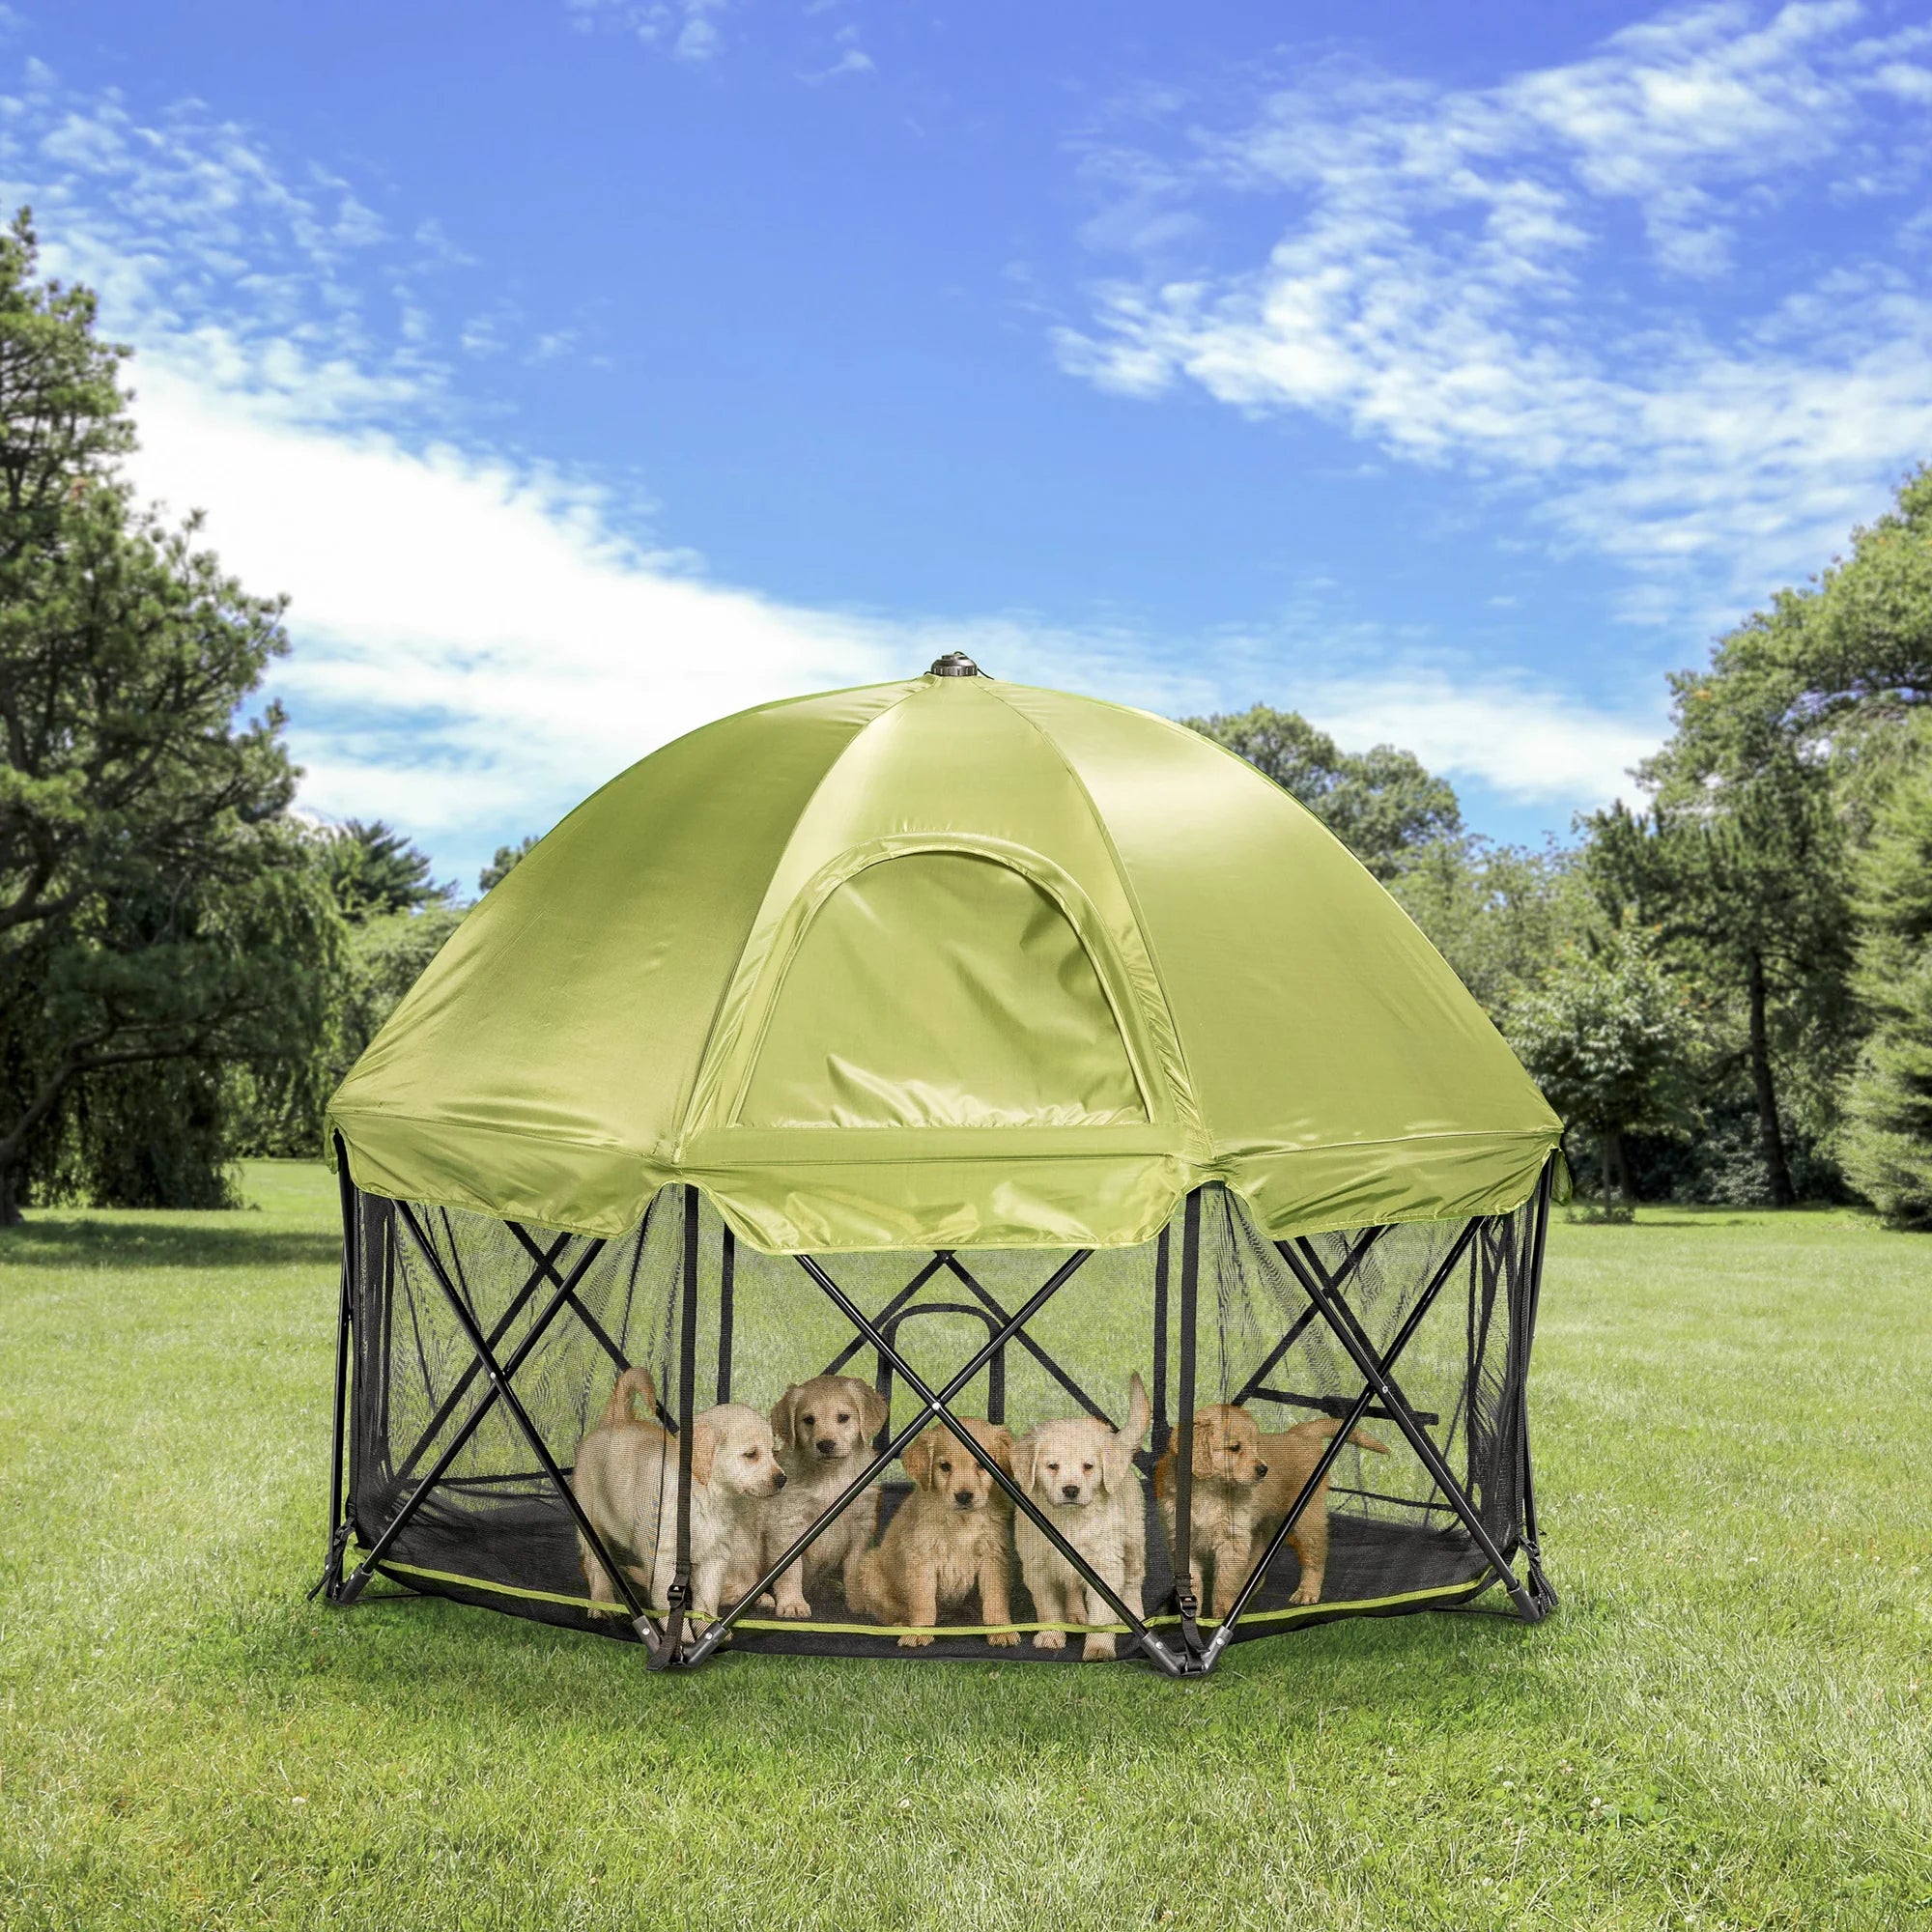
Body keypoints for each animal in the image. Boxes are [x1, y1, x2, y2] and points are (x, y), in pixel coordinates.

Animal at [568, 1368, 788, 1623]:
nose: (782, 1479)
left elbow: (706, 1603)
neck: (705, 1495)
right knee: (595, 1566)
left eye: (772, 1451)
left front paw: (706, 1625)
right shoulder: (665, 1560)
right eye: (751, 1454)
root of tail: (615, 1419)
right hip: (590, 1517)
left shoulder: (715, 1556)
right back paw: (602, 1604)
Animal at [765, 1368, 893, 1623]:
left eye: (843, 1418)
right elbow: (791, 1570)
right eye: (808, 1420)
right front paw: (792, 1603)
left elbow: (854, 1567)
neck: (831, 1475)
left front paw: (859, 1602)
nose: (825, 1444)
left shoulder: (861, 1526)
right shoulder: (788, 1525)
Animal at [850, 1422, 1028, 1646]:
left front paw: (1000, 1631)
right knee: (890, 1613)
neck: (962, 1521)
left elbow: (995, 1598)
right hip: (870, 1567)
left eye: (981, 1465)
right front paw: (918, 1633)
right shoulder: (922, 1559)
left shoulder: (993, 1555)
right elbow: (923, 1602)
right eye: (945, 1466)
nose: (963, 1496)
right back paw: (901, 1624)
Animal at [1012, 1376, 1144, 1662]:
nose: (1071, 1490)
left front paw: (1099, 1647)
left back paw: (1135, 1614)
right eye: (1052, 1466)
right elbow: (1048, 1608)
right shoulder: (1038, 1567)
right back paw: (1074, 1615)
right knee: (1072, 1588)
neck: (1070, 1520)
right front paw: (1050, 1636)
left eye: (1088, 1467)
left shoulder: (1105, 1566)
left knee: (1133, 1581)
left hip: (1134, 1542)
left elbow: (1102, 1617)